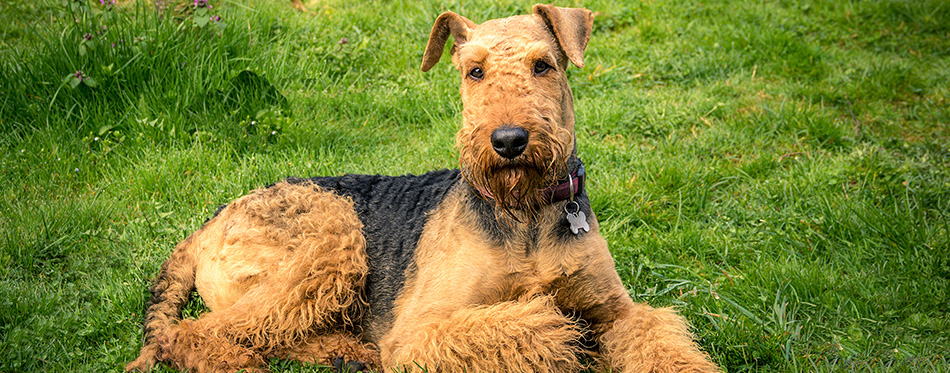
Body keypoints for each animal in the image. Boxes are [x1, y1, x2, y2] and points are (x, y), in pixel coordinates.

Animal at [126, 4, 720, 370]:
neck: (525, 213)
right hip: (331, 237)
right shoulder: (418, 329)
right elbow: (534, 320)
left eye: (543, 65)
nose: (508, 140)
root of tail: (209, 224)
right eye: (474, 71)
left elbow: (660, 339)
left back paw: (347, 354)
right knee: (199, 332)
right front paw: (559, 329)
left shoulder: (619, 313)